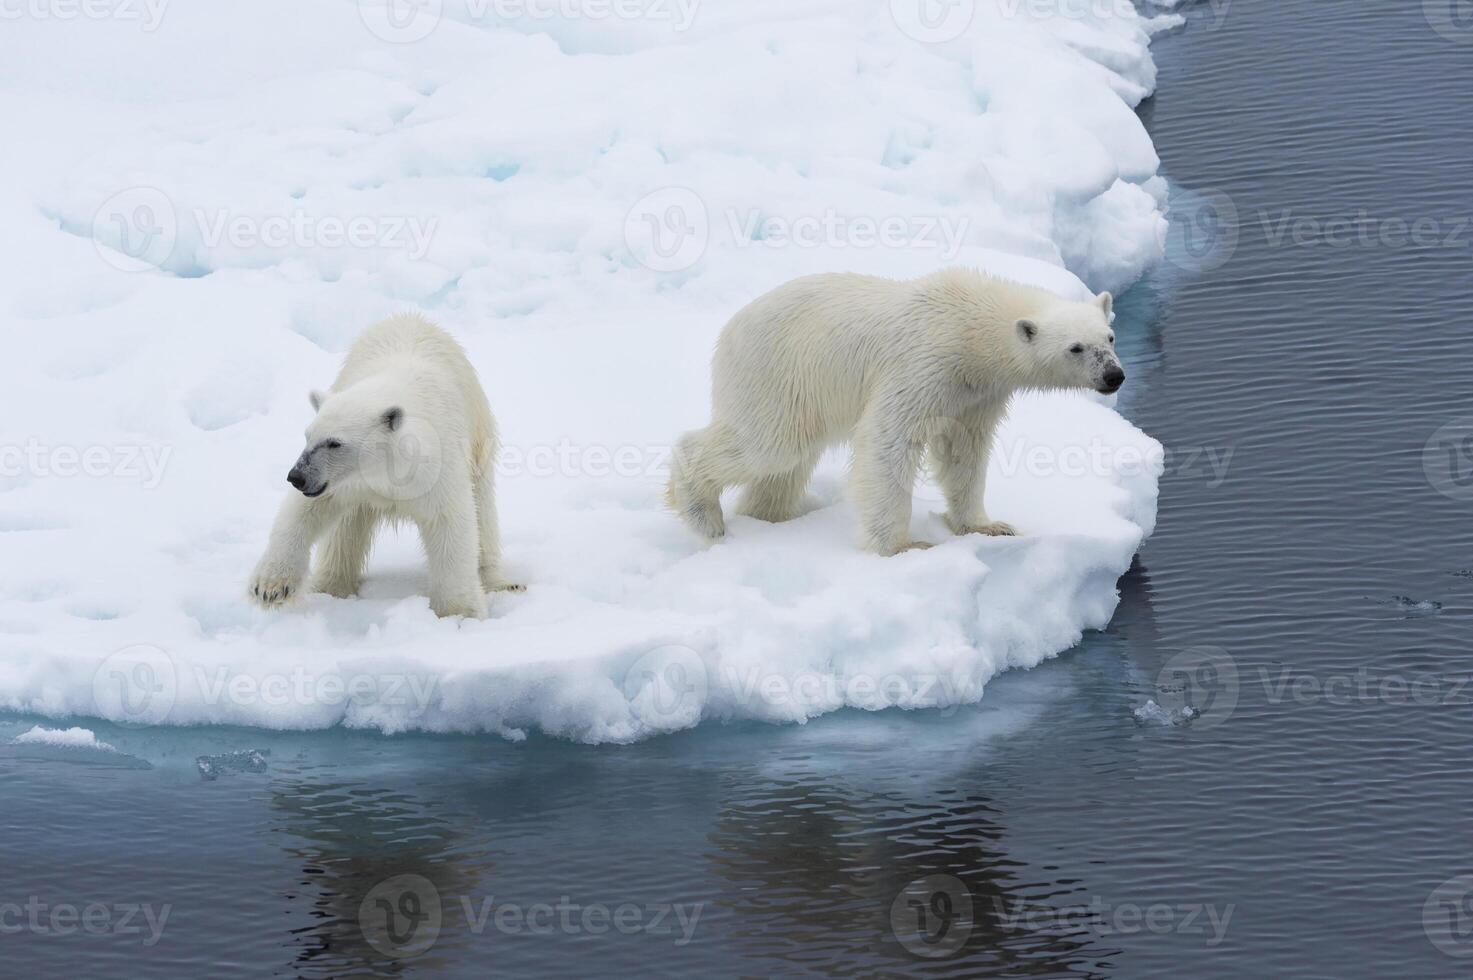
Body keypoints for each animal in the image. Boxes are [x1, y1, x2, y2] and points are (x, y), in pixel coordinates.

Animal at [247, 313, 512, 618]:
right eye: (307, 436)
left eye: (335, 443)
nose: (296, 476)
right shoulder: (344, 482)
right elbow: (303, 511)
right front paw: (270, 587)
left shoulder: (437, 468)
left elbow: (450, 524)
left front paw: (460, 612)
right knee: (344, 532)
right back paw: (331, 586)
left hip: (479, 436)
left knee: (483, 511)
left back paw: (500, 581)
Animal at [668, 268, 1125, 557]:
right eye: (1075, 348)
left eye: (1109, 336)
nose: (1114, 375)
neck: (972, 327)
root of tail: (729, 329)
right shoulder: (925, 364)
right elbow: (889, 438)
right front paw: (903, 546)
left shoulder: (976, 393)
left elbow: (964, 451)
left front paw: (988, 525)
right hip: (777, 374)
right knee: (767, 445)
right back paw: (705, 517)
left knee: (785, 465)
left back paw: (768, 517)